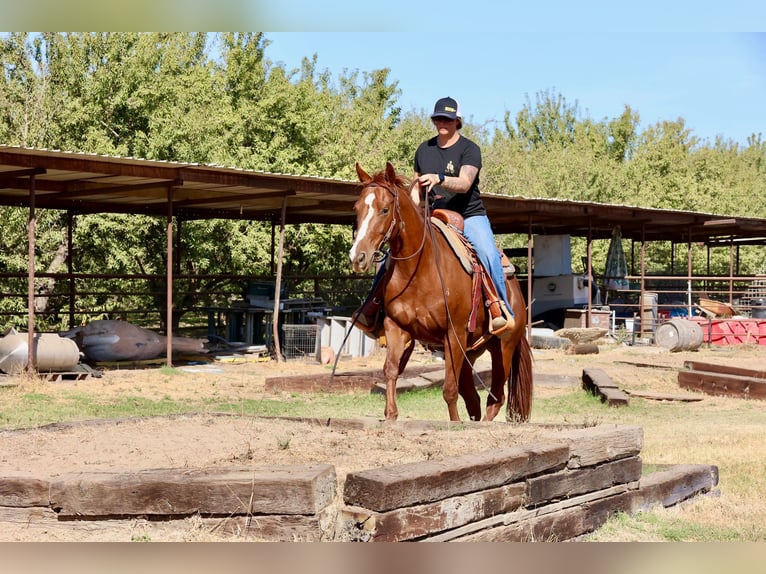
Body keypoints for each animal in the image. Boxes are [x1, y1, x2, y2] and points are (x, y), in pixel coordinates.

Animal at [349, 162, 533, 423]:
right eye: (357, 208)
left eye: (384, 209)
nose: (358, 256)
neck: (419, 270)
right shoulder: (396, 327)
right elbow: (391, 370)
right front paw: (391, 415)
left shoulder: (453, 334)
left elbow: (449, 389)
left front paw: (454, 423)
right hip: (470, 352)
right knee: (474, 400)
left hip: (503, 348)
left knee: (496, 398)